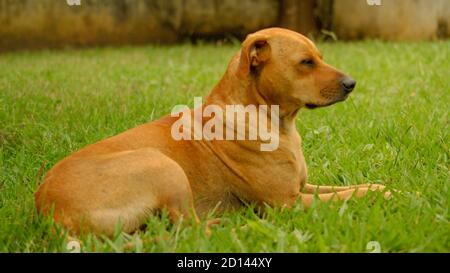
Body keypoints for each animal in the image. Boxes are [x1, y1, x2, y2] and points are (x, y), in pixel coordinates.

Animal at [35, 28, 390, 235]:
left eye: (319, 57)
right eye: (306, 62)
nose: (352, 84)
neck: (273, 119)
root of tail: (51, 212)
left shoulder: (304, 188)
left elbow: (361, 186)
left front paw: (386, 188)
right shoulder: (286, 203)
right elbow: (355, 194)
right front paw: (388, 195)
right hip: (161, 165)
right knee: (187, 228)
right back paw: (235, 227)